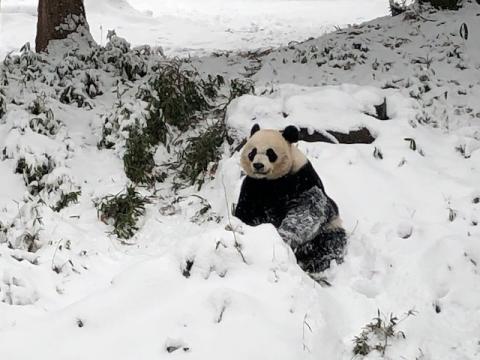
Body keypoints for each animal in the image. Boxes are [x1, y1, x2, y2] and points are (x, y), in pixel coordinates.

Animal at [234, 124, 346, 272]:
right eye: (252, 152)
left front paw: (282, 236)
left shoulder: (302, 178)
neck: (270, 181)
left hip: (328, 228)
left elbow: (308, 209)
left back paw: (314, 263)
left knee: (331, 244)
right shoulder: (252, 185)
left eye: (270, 153)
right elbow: (246, 211)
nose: (258, 165)